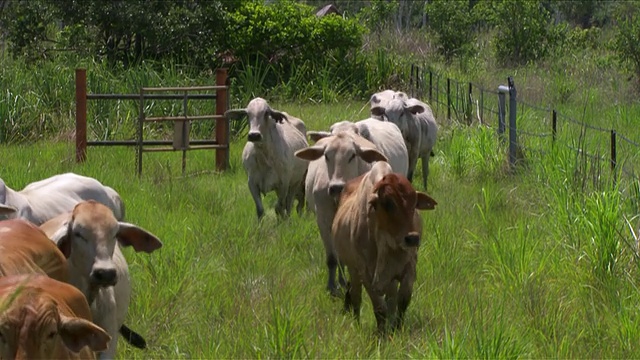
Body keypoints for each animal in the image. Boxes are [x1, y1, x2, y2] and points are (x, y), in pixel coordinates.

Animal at [332, 162, 438, 334]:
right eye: (388, 204)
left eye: (414, 204)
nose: (413, 238)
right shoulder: (366, 274)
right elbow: (379, 308)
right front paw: (382, 333)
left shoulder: (409, 268)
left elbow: (402, 300)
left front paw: (397, 328)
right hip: (353, 270)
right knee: (356, 297)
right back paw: (357, 324)